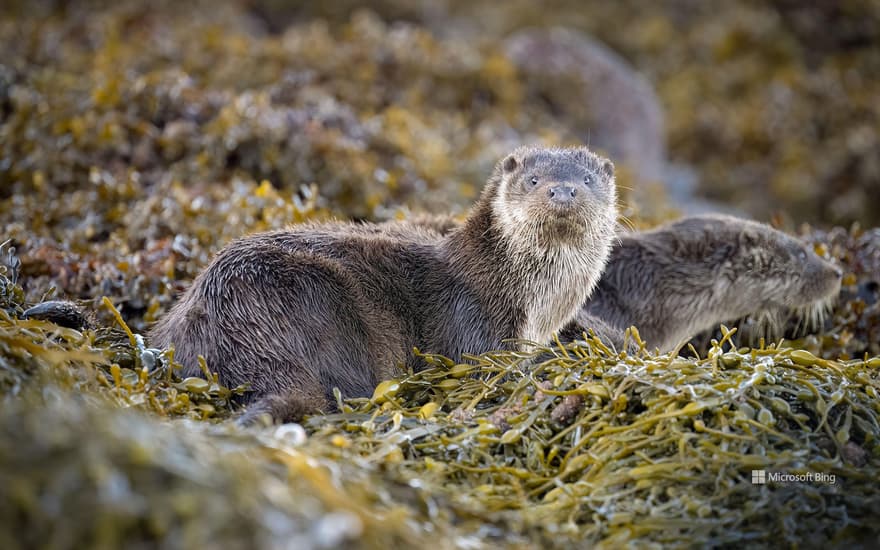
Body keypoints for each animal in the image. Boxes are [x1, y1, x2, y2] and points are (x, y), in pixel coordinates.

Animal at [150, 147, 620, 422]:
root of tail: (234, 325)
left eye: (587, 181)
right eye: (533, 181)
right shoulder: (474, 326)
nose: (563, 191)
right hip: (322, 300)